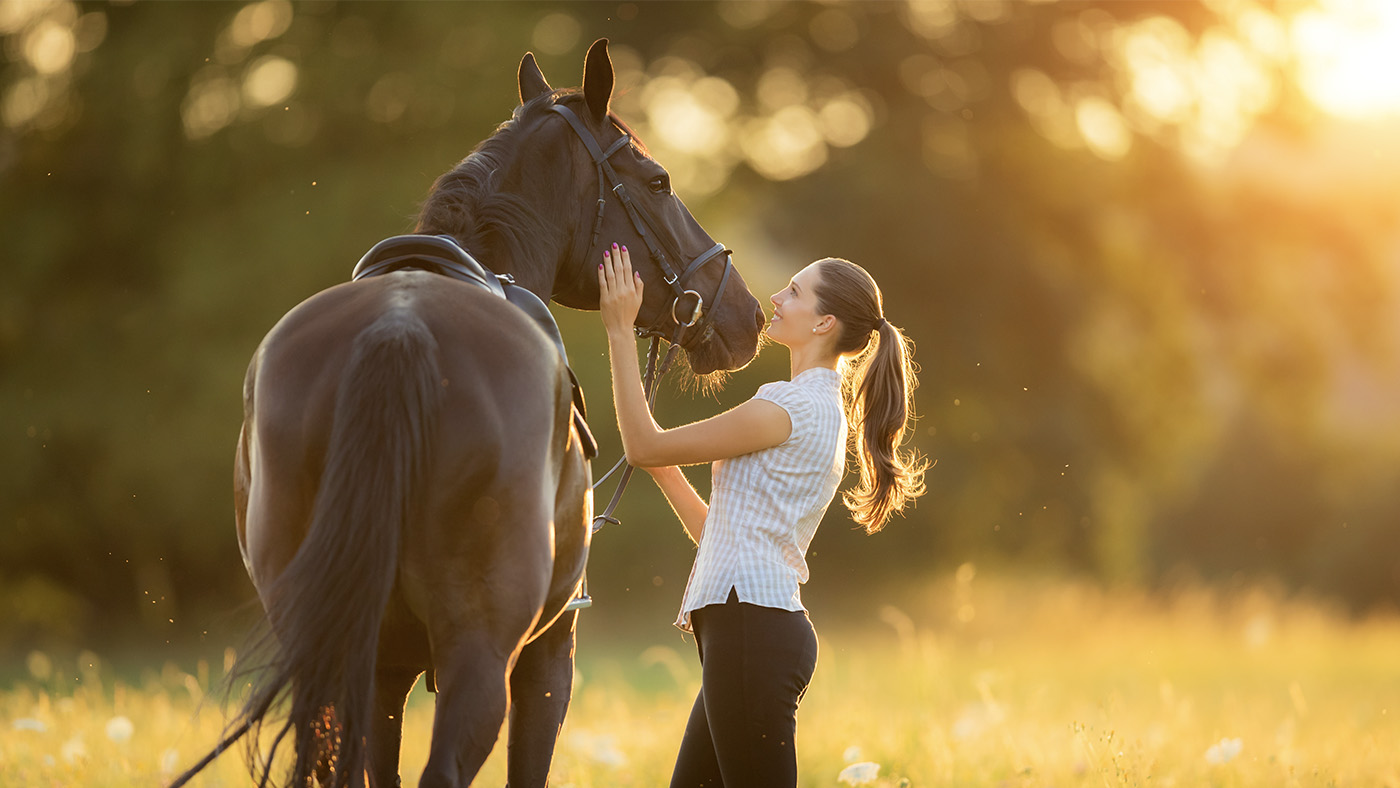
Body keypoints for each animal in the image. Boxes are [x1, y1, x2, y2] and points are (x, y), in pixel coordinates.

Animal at [179, 41, 767, 788]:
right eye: (658, 180)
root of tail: (398, 329)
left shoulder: (385, 672)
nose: (746, 313)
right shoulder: (548, 657)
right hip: (481, 658)